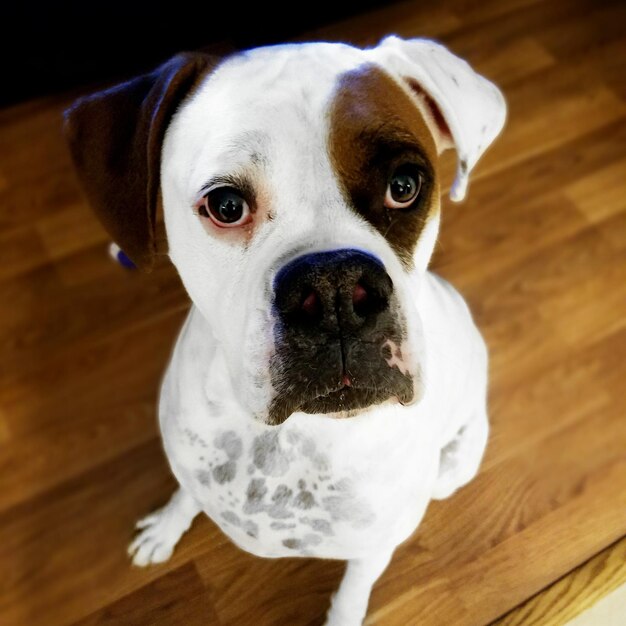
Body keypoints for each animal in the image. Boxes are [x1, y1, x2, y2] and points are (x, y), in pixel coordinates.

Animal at [64, 37, 502, 624]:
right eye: (226, 205)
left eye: (404, 186)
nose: (336, 288)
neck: (290, 440)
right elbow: (186, 493)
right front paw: (167, 525)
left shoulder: (374, 548)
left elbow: (351, 594)